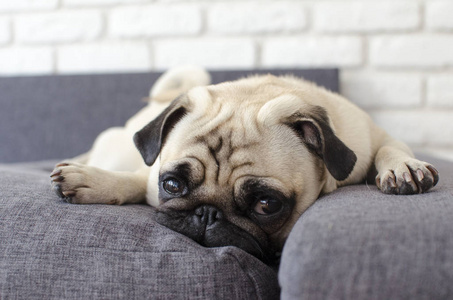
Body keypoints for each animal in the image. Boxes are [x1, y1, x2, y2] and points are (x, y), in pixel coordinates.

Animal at [49, 65, 438, 262]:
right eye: (172, 184)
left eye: (266, 204)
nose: (207, 213)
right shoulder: (147, 175)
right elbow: (133, 180)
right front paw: (93, 181)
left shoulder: (373, 136)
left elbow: (391, 148)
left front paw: (402, 168)